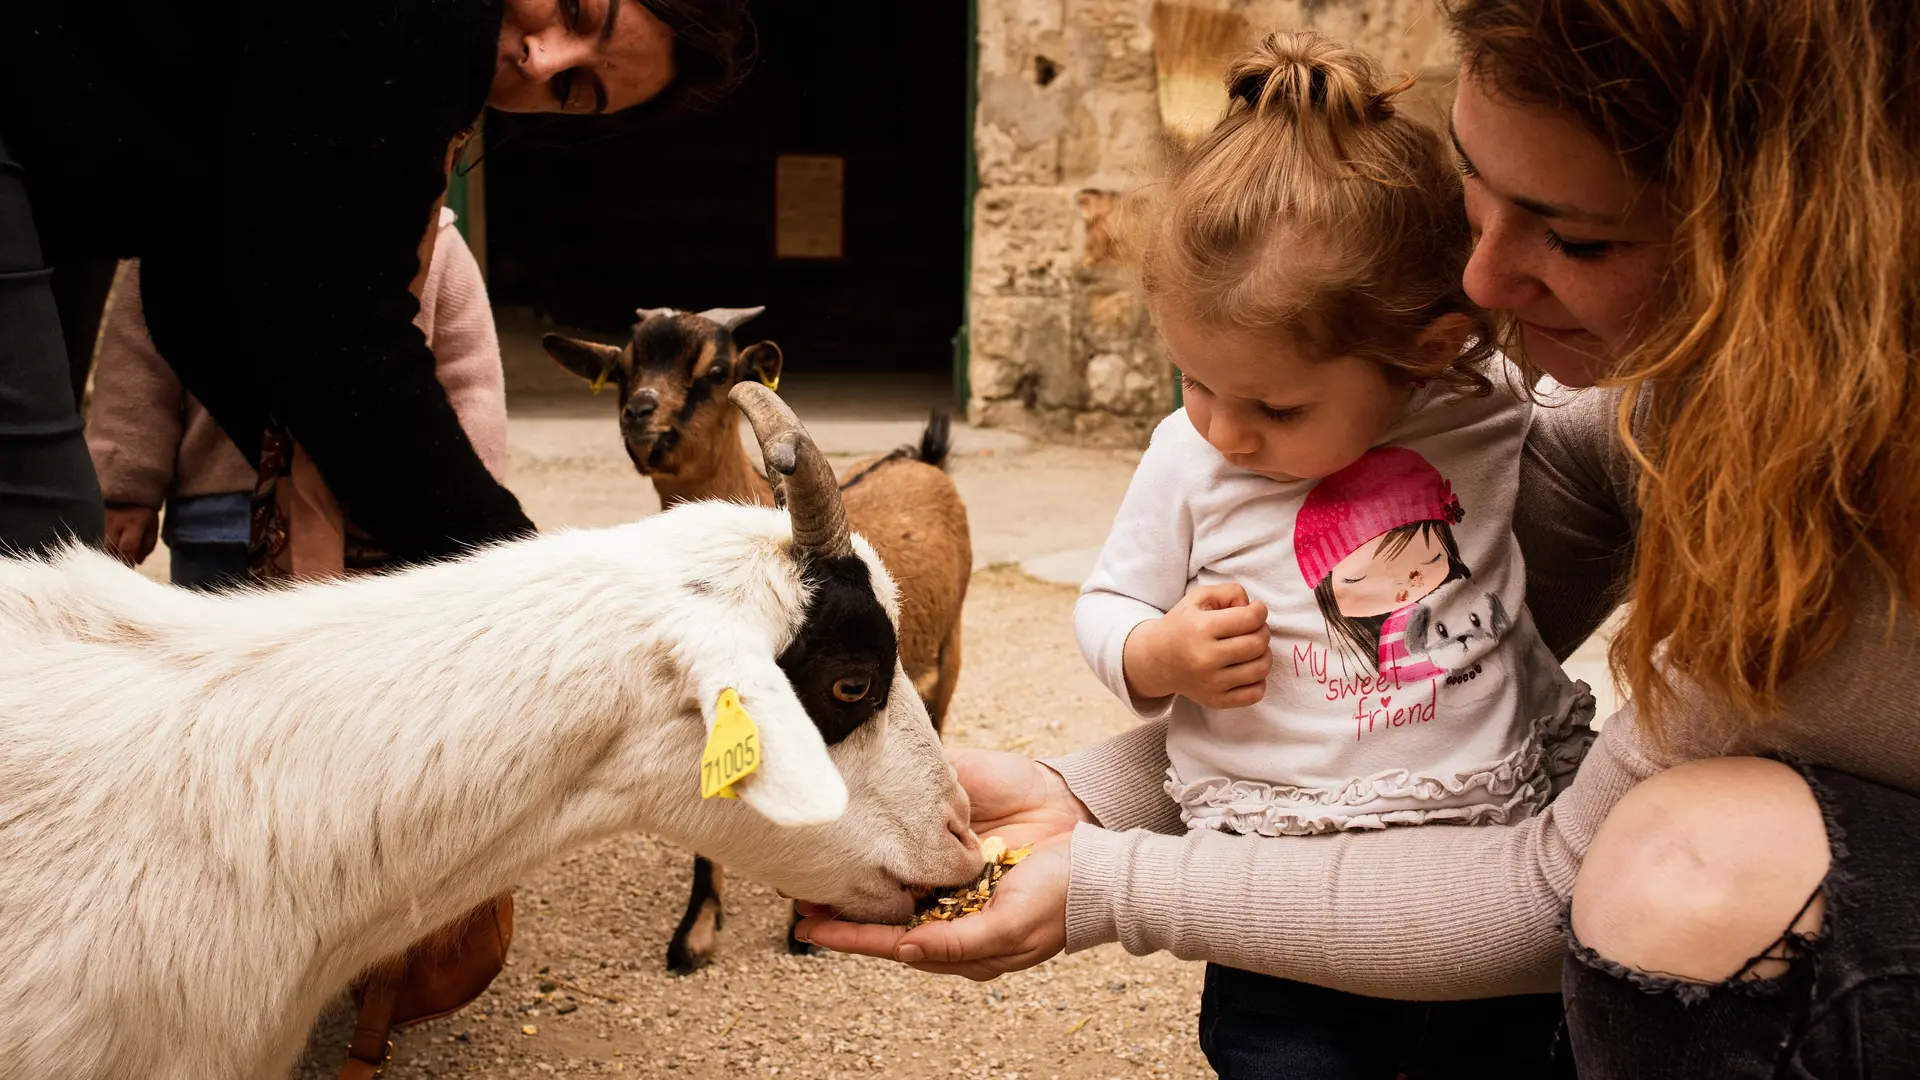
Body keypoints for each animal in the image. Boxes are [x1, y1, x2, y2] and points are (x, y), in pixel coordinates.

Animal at [545, 307, 975, 972]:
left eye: (717, 369)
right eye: (622, 368)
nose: (641, 417)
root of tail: (923, 459)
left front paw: (801, 927)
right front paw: (696, 933)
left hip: (952, 643)